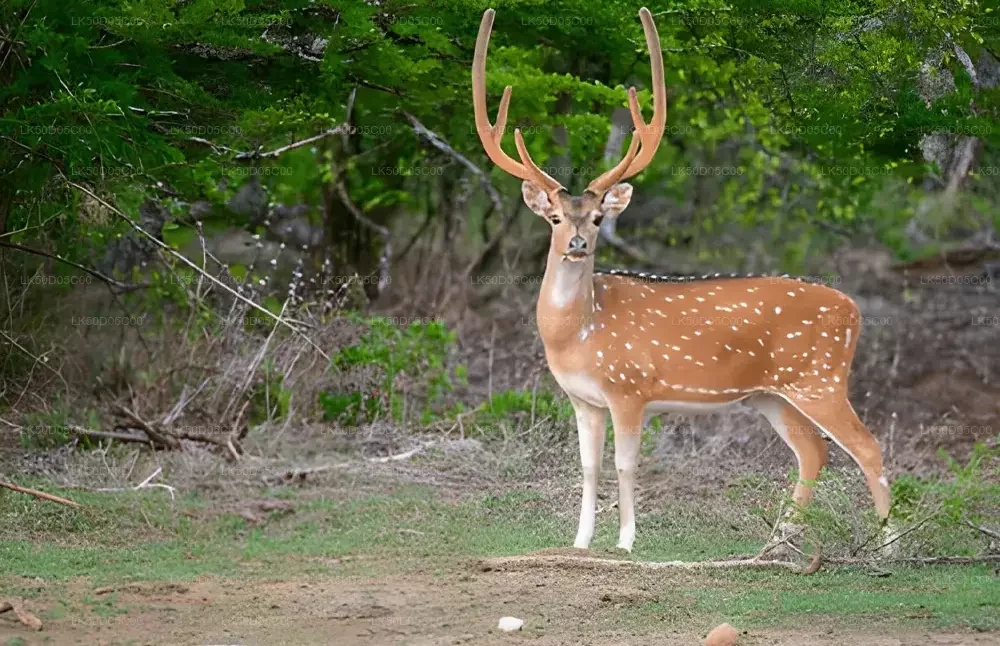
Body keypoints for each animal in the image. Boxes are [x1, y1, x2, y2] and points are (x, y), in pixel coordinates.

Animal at [472, 7, 893, 554]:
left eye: (598, 219)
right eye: (556, 219)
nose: (578, 244)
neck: (577, 334)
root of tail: (854, 309)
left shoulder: (629, 387)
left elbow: (625, 465)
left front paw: (626, 542)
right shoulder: (582, 399)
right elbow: (587, 467)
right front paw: (581, 542)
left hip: (821, 378)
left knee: (868, 447)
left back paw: (890, 547)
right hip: (773, 394)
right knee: (813, 451)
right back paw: (773, 545)